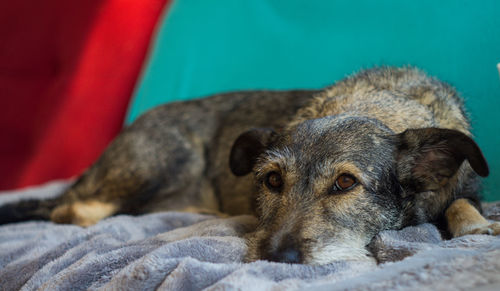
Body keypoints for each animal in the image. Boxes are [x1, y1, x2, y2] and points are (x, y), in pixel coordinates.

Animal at [1, 68, 498, 264]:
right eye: (272, 180)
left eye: (345, 182)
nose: (278, 257)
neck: (379, 103)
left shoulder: (461, 185)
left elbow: (460, 203)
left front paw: (475, 223)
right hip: (166, 155)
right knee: (73, 210)